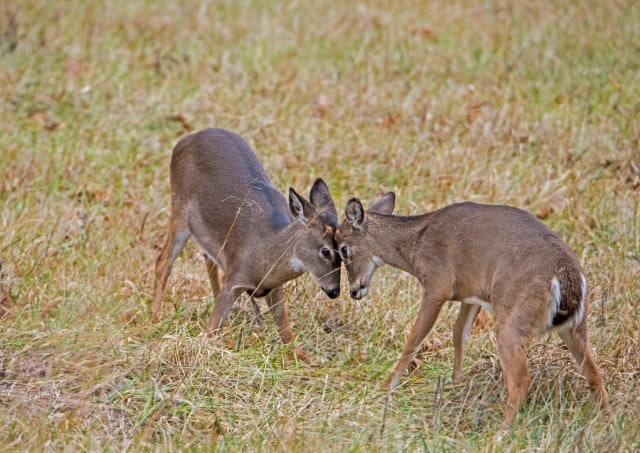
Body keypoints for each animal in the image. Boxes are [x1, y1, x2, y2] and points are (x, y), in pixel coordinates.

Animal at [153, 128, 342, 356]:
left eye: (344, 253)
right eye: (326, 251)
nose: (334, 291)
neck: (266, 252)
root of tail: (186, 139)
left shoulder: (274, 286)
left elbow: (285, 331)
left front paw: (305, 356)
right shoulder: (236, 278)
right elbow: (209, 332)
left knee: (208, 259)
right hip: (180, 207)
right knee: (163, 261)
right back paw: (155, 318)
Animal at [336, 192, 608, 430]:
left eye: (342, 249)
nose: (354, 291)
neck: (415, 245)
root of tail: (567, 275)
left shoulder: (437, 284)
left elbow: (414, 340)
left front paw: (385, 388)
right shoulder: (471, 294)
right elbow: (459, 334)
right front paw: (456, 382)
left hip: (512, 320)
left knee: (520, 380)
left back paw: (499, 434)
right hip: (574, 325)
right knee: (594, 373)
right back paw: (606, 419)